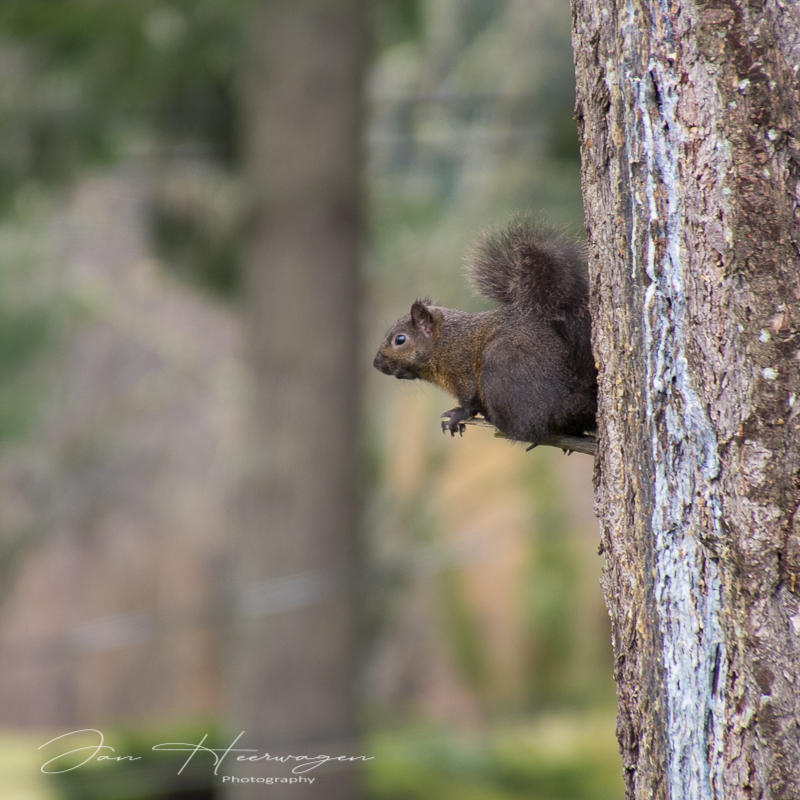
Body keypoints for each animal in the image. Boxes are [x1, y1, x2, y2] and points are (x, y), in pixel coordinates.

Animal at [374, 216, 592, 446]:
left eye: (400, 339)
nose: (376, 364)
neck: (445, 342)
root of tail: (571, 400)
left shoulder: (463, 371)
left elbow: (469, 401)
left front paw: (457, 415)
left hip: (502, 365)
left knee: (530, 428)